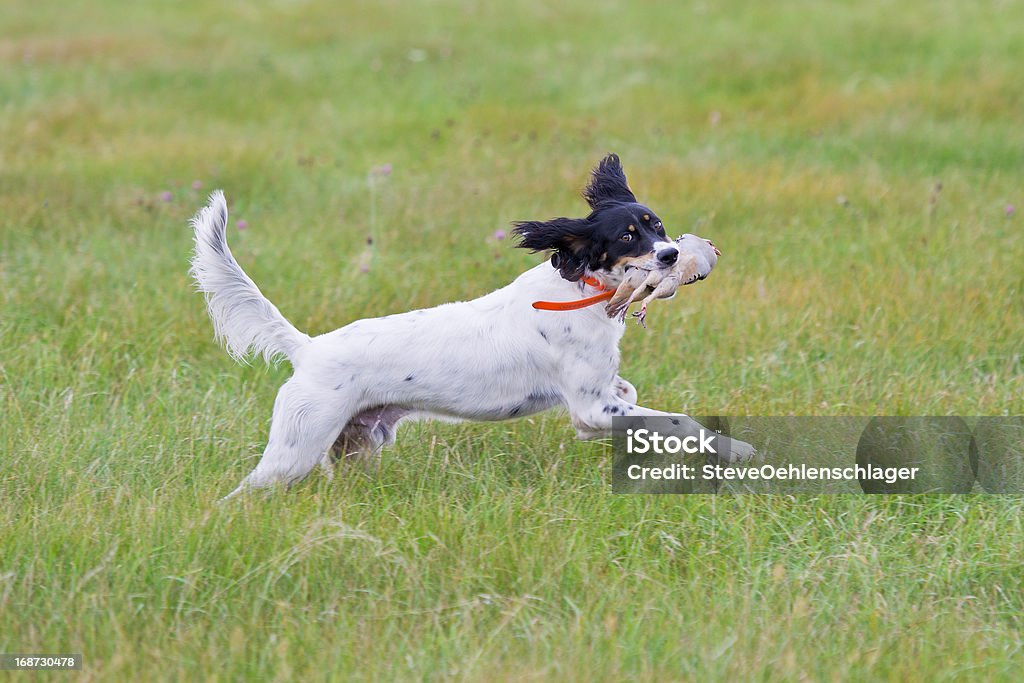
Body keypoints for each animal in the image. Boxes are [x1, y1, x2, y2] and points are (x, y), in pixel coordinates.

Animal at [192, 154, 753, 497]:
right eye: (628, 236)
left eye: (657, 225)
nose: (673, 254)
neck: (582, 292)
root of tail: (307, 348)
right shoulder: (593, 408)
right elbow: (680, 421)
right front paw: (738, 450)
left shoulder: (597, 401)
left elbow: (633, 394)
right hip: (294, 449)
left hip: (353, 445)